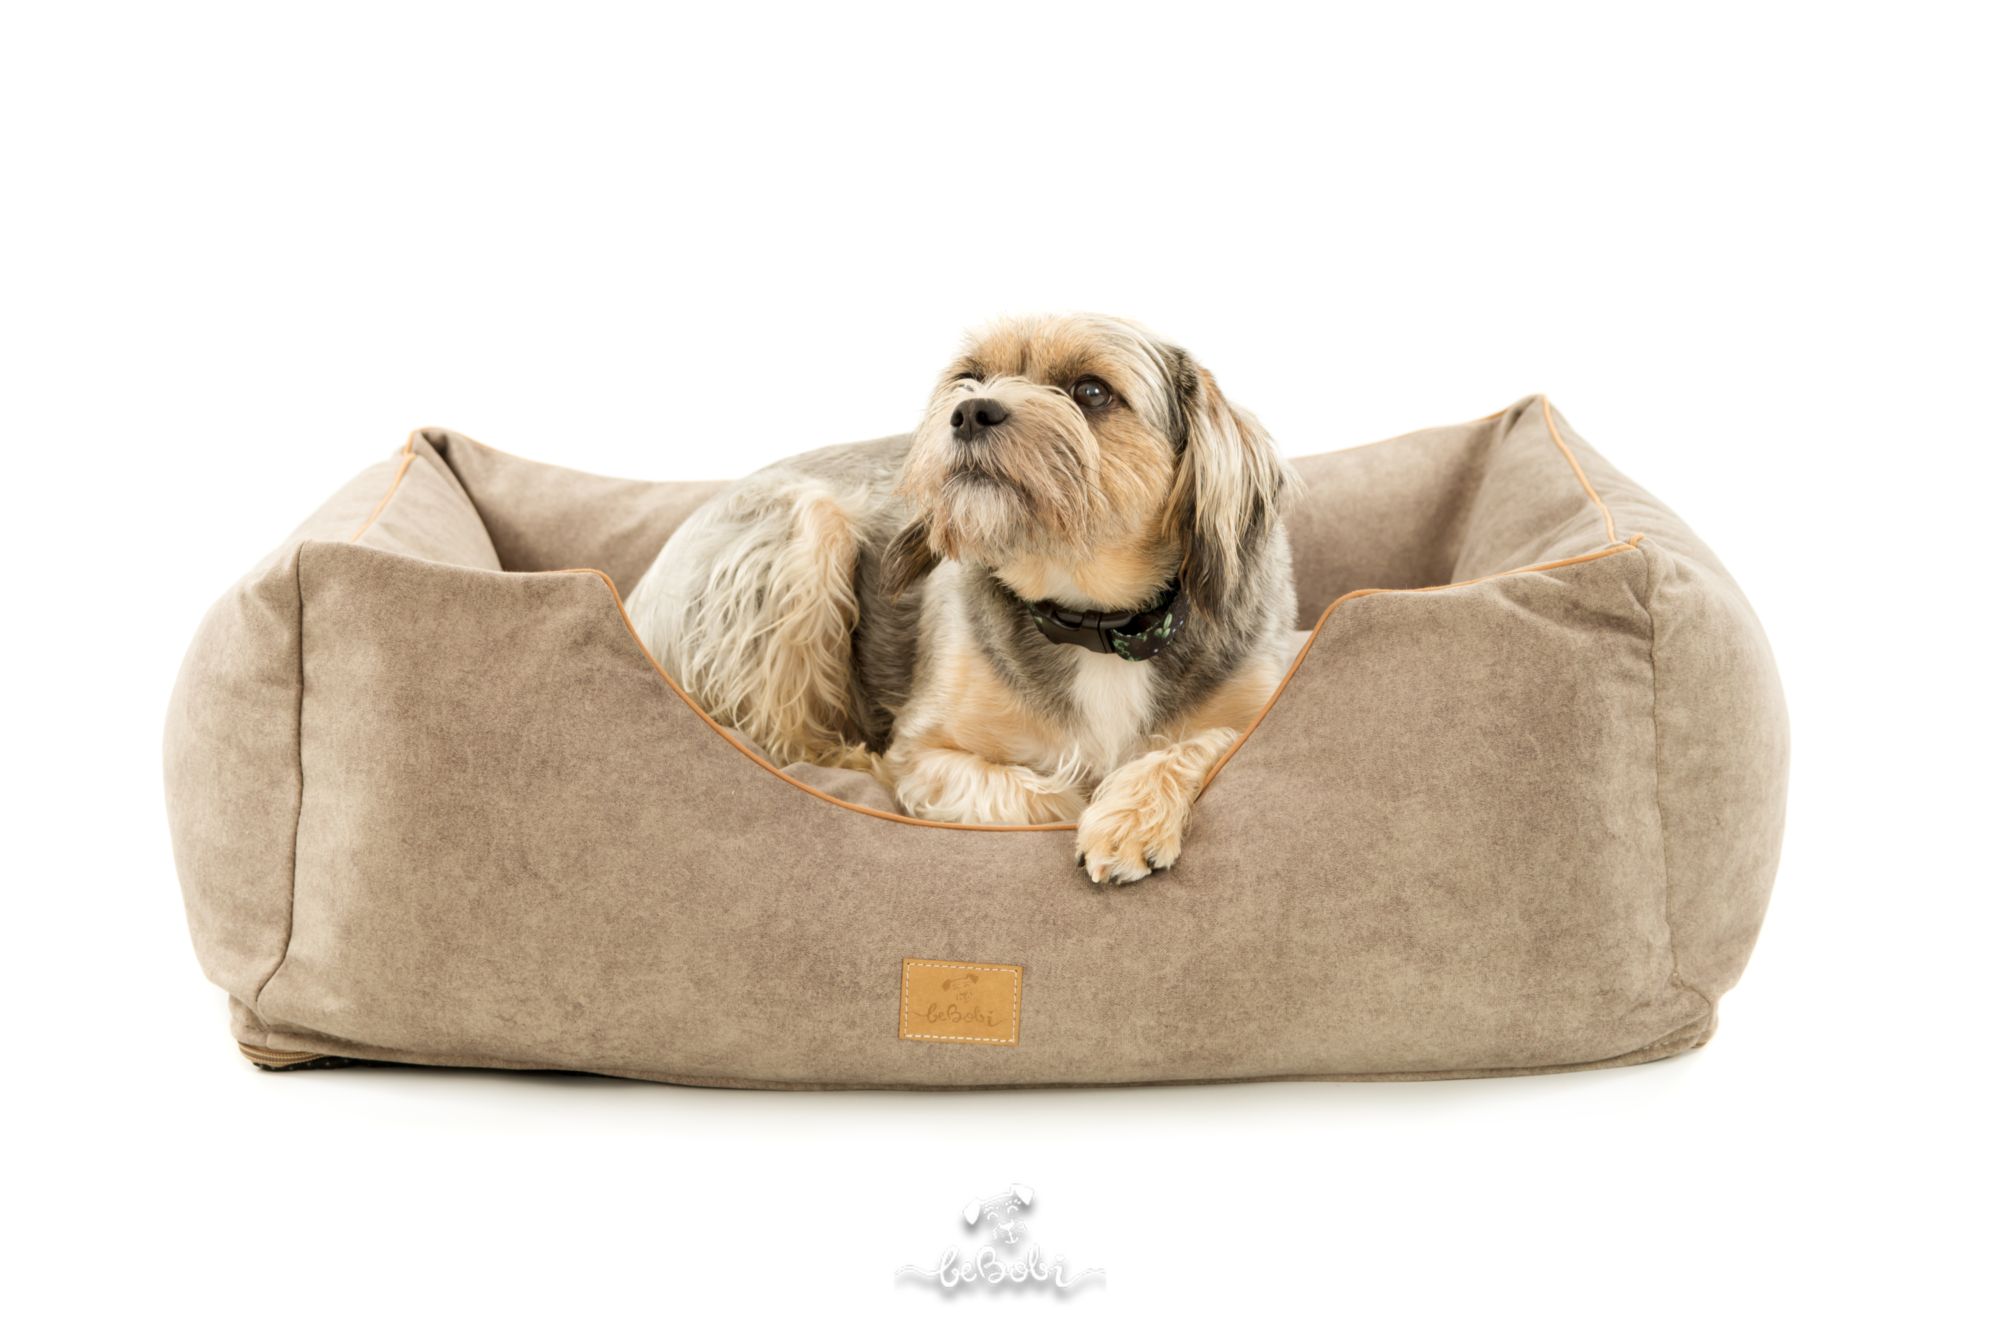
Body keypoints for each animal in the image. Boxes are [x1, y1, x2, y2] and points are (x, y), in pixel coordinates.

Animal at [624, 313, 1296, 883]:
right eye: (968, 377)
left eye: (1091, 391)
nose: (970, 410)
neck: (1094, 617)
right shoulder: (925, 752)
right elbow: (1043, 796)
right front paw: (1090, 801)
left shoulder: (1261, 703)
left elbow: (1200, 743)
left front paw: (1131, 816)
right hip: (808, 533)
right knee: (788, 740)